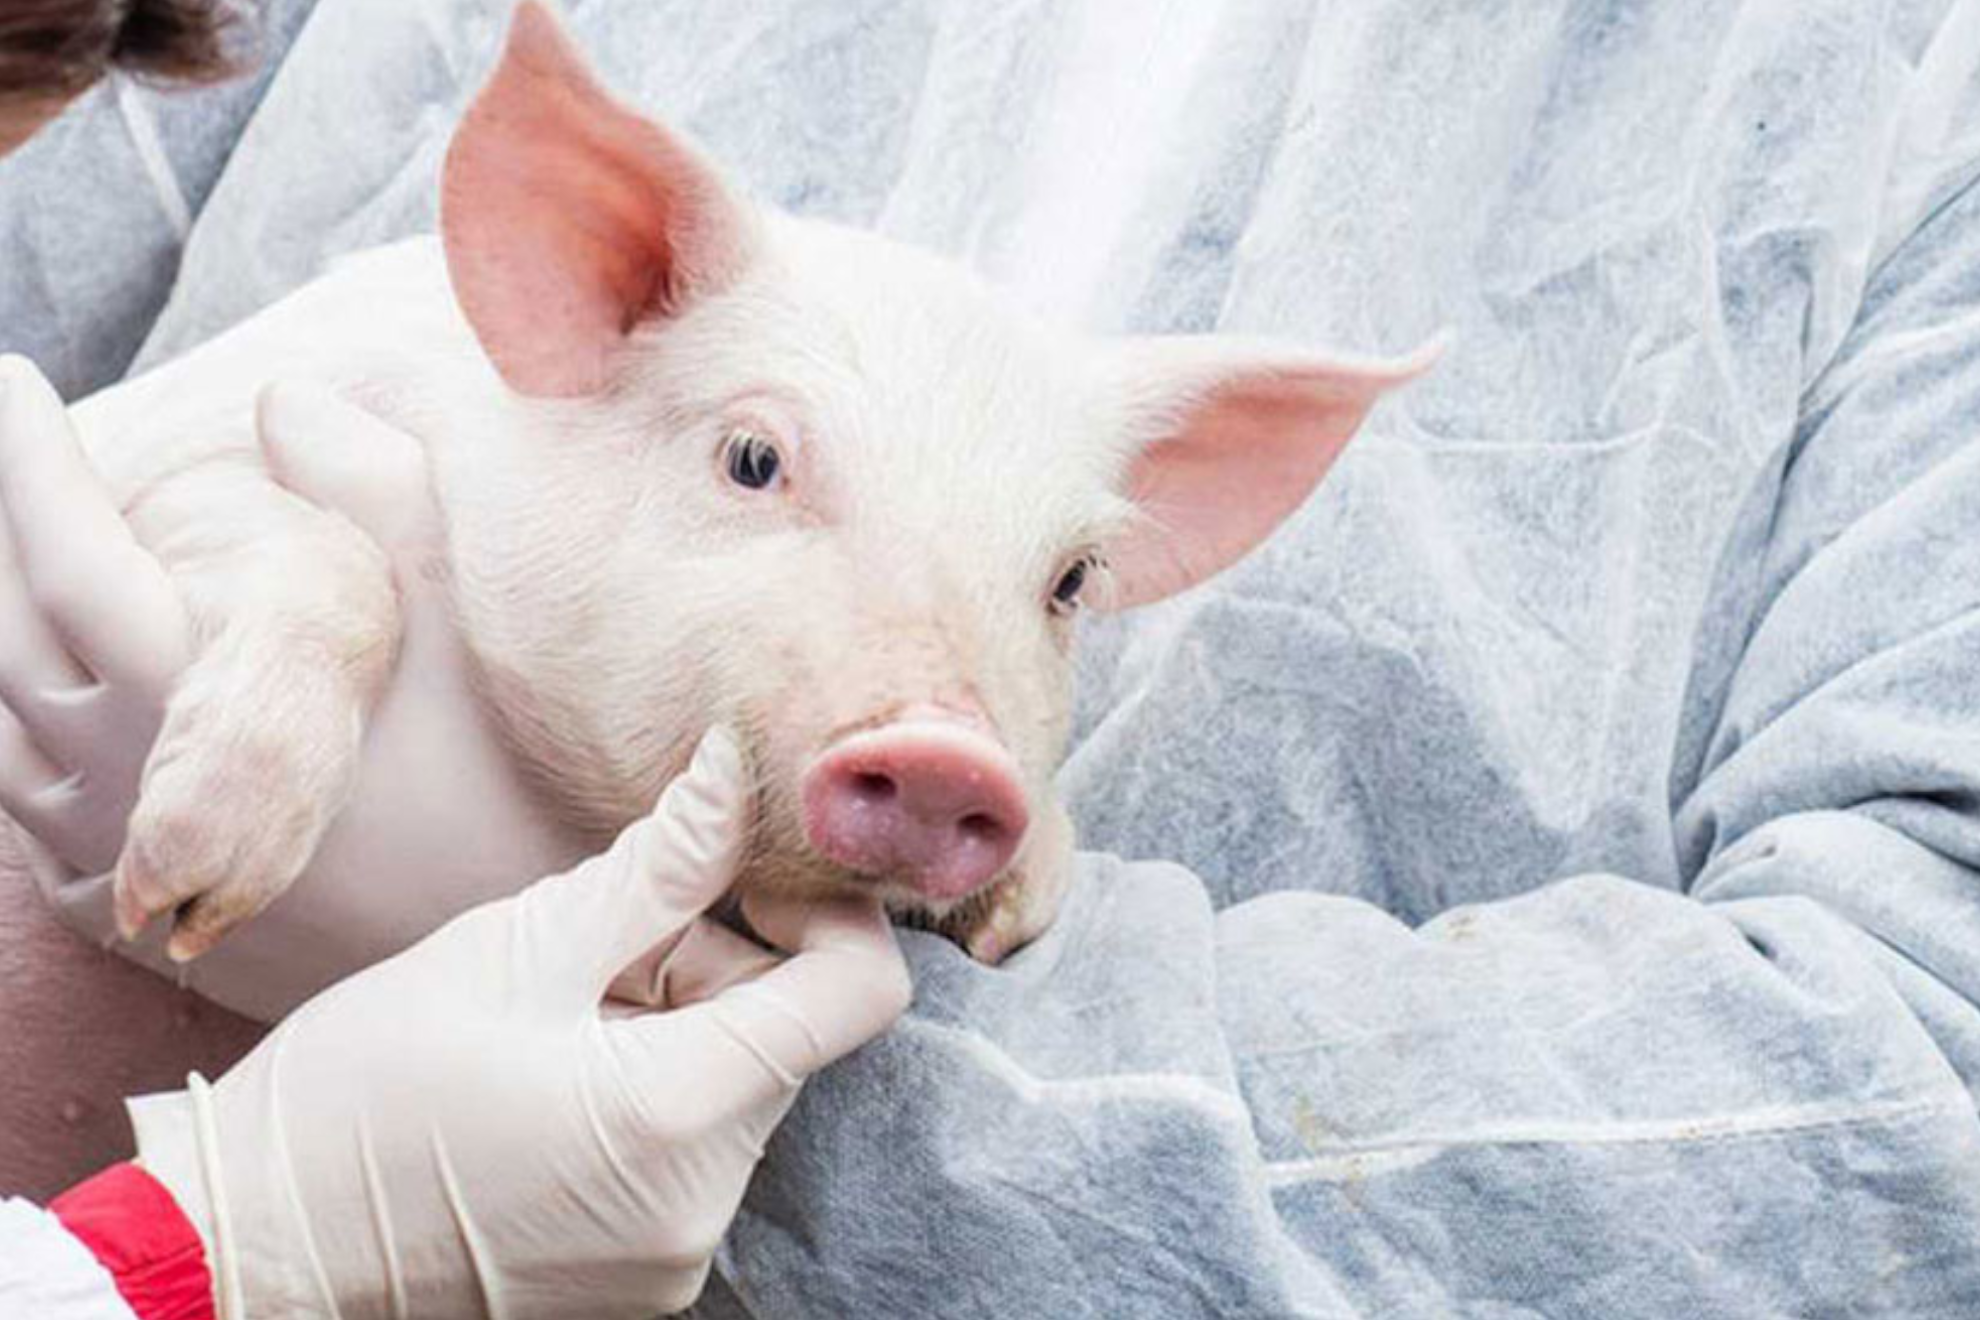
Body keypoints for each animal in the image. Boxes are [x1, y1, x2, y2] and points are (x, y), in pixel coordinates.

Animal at [44, 0, 1430, 974]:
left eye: (1073, 580)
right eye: (754, 458)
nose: (946, 755)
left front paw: (1017, 909)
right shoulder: (155, 464)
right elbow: (328, 560)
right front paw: (181, 900)